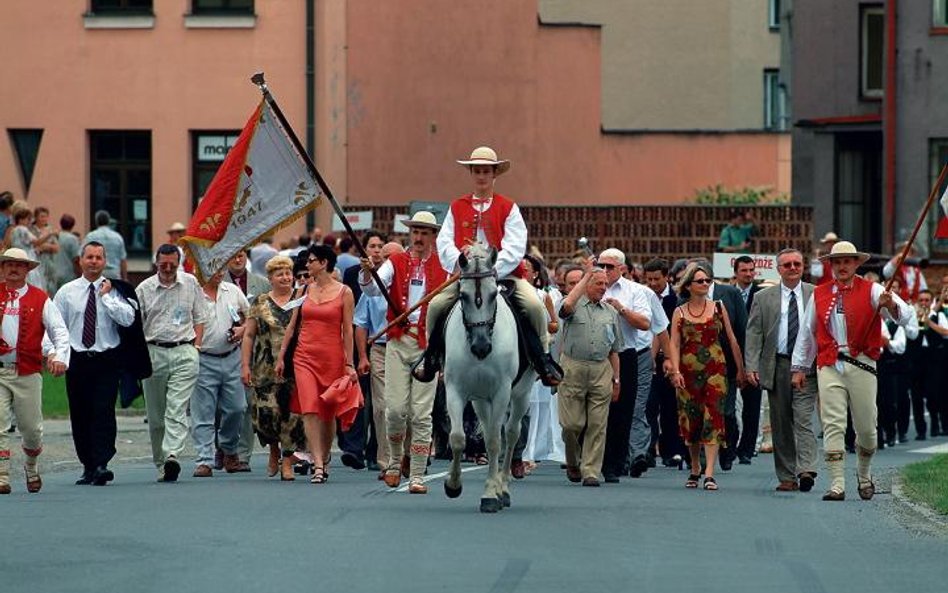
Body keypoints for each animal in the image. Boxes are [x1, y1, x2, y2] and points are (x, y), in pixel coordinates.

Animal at [440, 243, 536, 512]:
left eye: (494, 294)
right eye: (463, 296)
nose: (481, 347)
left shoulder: (502, 392)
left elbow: (495, 441)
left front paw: (491, 495)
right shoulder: (455, 390)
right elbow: (458, 438)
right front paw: (453, 485)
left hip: (521, 394)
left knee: (511, 433)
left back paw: (503, 488)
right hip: (480, 400)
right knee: (485, 428)